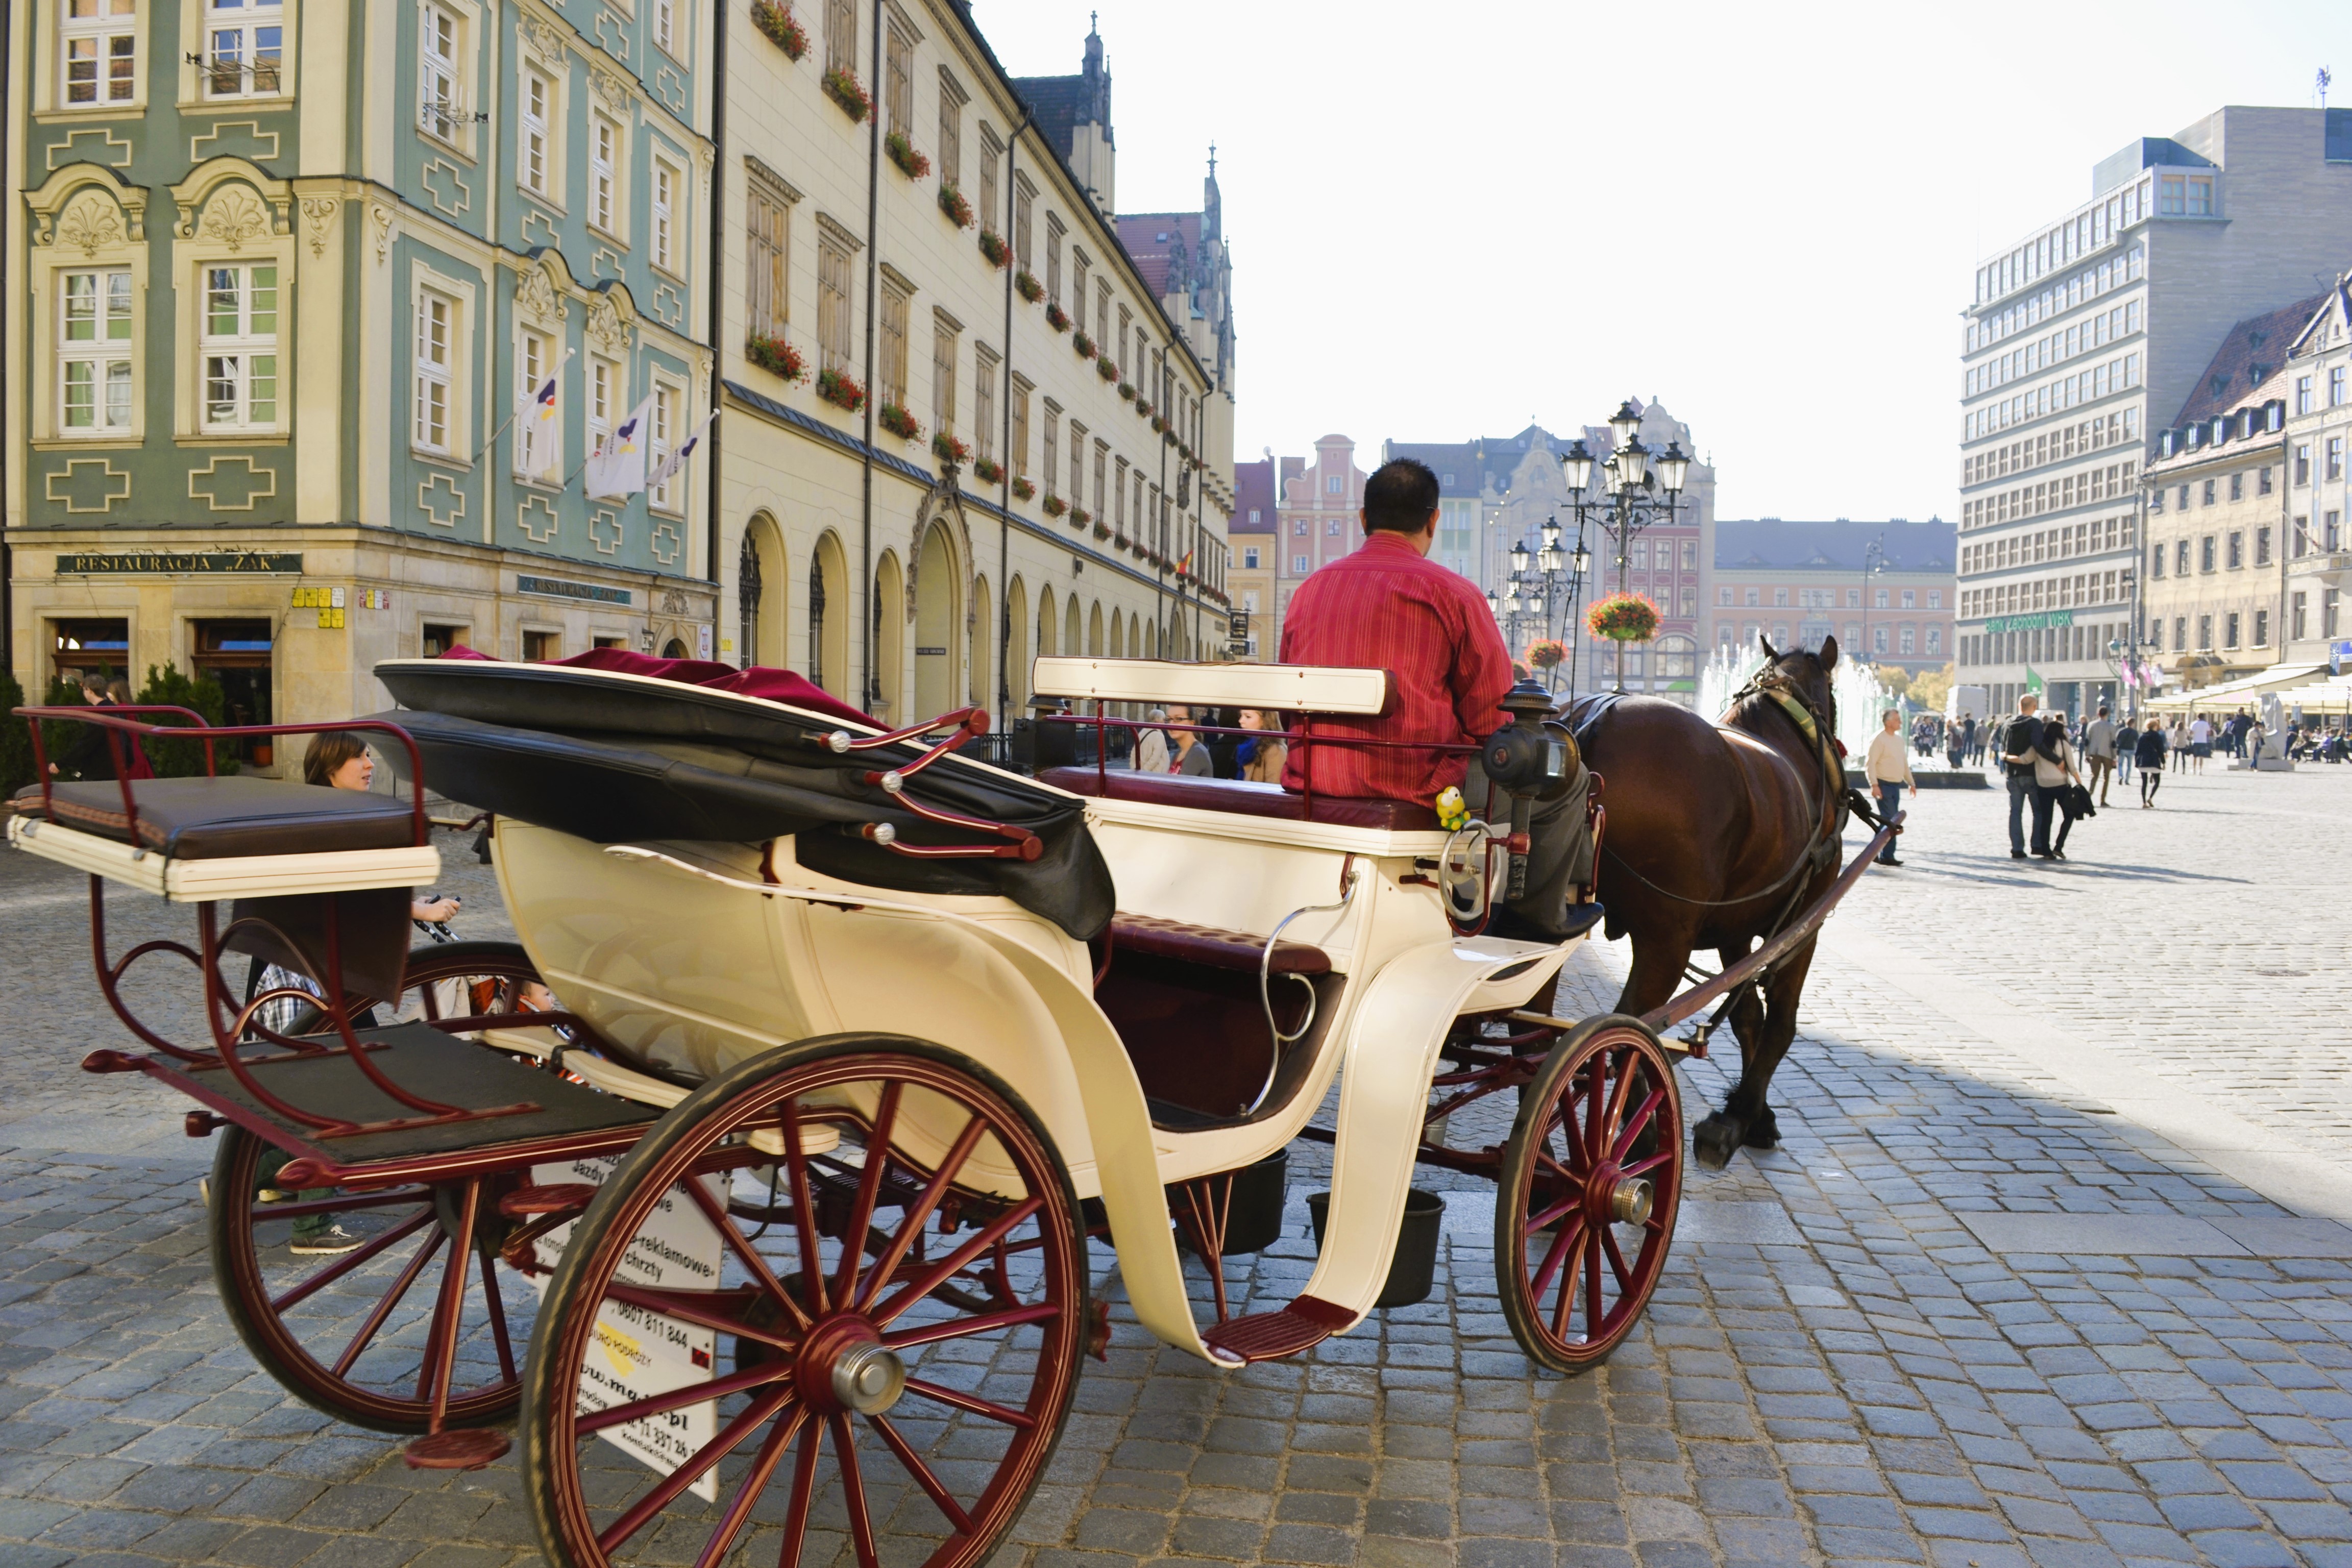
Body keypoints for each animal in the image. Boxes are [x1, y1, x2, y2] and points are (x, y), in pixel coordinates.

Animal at [1571, 634, 1844, 1166]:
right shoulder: (1805, 924)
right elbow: (1780, 1022)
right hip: (1666, 944)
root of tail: (1593, 722)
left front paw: (1755, 1115)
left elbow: (1746, 1016)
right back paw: (1641, 1134)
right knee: (1631, 1029)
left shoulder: (1737, 931)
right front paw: (1742, 1115)